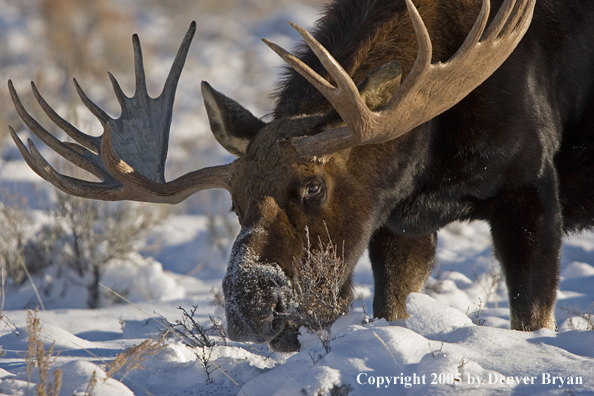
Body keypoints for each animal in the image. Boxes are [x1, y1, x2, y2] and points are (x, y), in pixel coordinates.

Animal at [8, 0, 592, 352]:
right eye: (234, 204)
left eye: (314, 185)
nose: (250, 307)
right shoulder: (399, 223)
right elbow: (392, 305)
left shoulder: (531, 187)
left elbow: (532, 314)